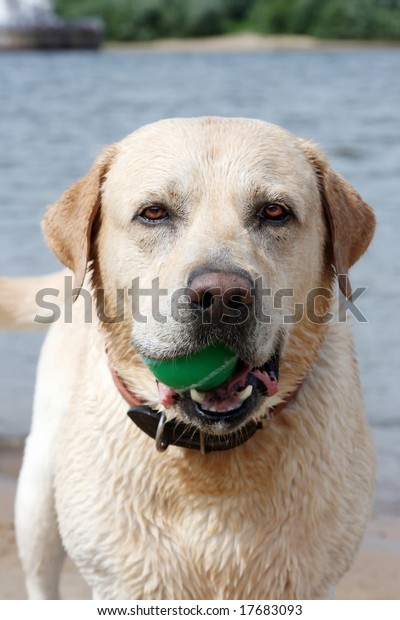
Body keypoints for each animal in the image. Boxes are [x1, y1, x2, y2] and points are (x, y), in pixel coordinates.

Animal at [0, 117, 376, 600]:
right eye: (154, 212)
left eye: (275, 212)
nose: (221, 296)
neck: (208, 452)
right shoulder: (119, 583)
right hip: (38, 500)